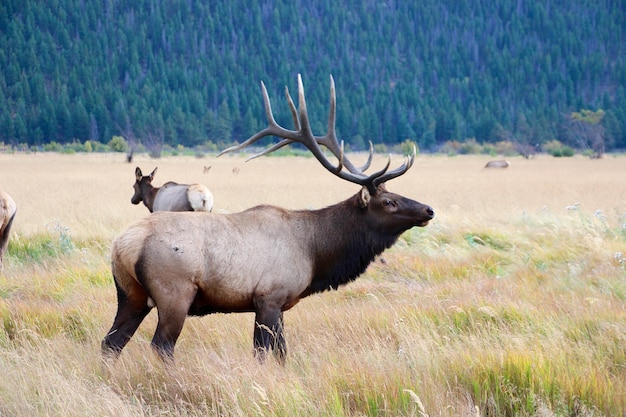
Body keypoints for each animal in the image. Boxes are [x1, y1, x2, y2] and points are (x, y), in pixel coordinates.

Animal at [102, 75, 434, 364]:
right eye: (388, 202)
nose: (428, 210)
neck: (315, 253)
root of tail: (123, 245)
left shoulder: (281, 305)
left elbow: (282, 353)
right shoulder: (268, 298)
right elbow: (264, 353)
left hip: (130, 294)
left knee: (111, 342)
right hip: (175, 293)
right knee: (161, 345)